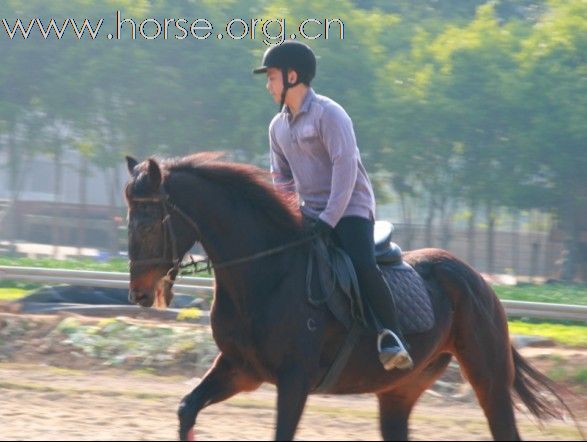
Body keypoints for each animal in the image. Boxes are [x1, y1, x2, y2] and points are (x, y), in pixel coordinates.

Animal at [125, 154, 576, 440]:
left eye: (146, 223)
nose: (139, 293)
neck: (266, 274)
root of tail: (475, 279)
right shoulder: (241, 370)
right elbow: (187, 409)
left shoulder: (294, 380)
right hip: (399, 392)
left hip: (489, 379)